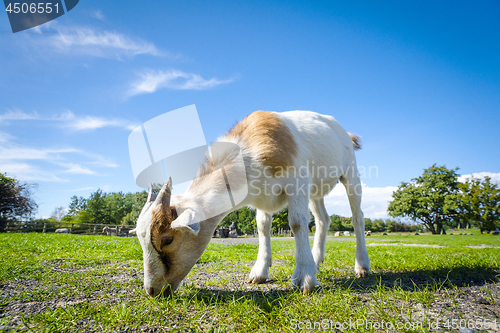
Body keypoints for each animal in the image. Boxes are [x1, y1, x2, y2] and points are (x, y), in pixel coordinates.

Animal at [135, 109, 370, 296]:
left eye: (167, 239)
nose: (152, 290)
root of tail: (345, 133)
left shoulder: (298, 183)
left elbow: (297, 223)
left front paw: (305, 278)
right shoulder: (261, 197)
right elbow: (263, 226)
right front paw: (259, 272)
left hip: (350, 173)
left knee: (357, 216)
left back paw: (361, 266)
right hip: (316, 191)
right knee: (323, 219)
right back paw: (316, 259)